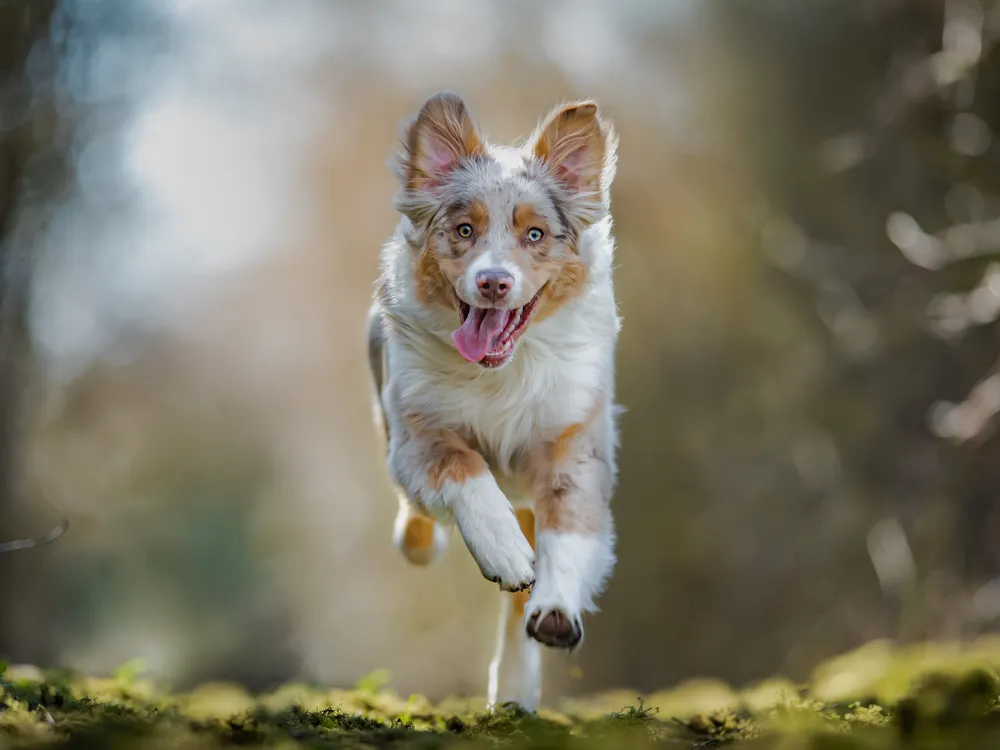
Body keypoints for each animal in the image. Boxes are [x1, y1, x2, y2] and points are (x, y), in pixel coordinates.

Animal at [364, 91, 620, 712]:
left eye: (535, 235)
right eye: (463, 229)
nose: (494, 283)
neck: (503, 373)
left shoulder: (576, 442)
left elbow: (570, 528)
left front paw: (555, 607)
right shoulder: (416, 434)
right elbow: (463, 467)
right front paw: (502, 551)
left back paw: (512, 688)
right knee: (417, 522)